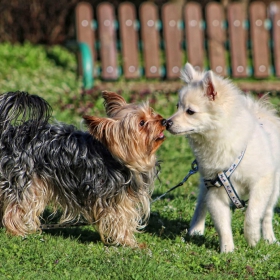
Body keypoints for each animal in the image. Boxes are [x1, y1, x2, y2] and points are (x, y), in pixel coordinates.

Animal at [166, 64, 280, 254]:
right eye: (177, 106)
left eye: (190, 112)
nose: (166, 123)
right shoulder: (215, 190)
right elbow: (222, 225)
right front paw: (227, 250)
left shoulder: (261, 182)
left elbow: (253, 214)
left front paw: (252, 238)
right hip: (205, 186)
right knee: (201, 204)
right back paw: (196, 229)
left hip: (274, 188)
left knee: (268, 213)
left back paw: (269, 238)